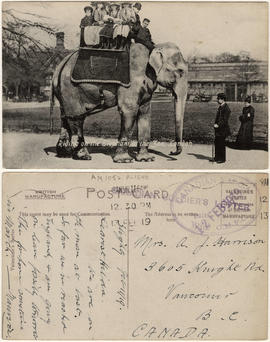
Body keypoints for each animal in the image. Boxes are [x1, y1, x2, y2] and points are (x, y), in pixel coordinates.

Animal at [49, 41, 187, 162]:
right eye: (180, 71)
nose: (172, 152)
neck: (152, 48)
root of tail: (58, 68)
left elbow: (145, 112)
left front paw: (146, 159)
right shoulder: (131, 82)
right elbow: (129, 110)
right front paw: (124, 160)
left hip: (63, 92)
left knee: (65, 117)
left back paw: (64, 154)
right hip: (70, 88)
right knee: (77, 118)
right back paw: (83, 156)